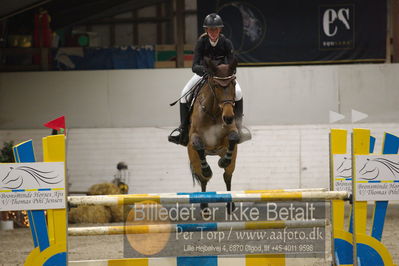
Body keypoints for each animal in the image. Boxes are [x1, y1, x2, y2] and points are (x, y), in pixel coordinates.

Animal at [188, 57, 241, 214]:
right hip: (193, 158)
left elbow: (233, 138)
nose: (228, 117)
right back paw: (204, 206)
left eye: (233, 83)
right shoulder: (194, 136)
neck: (214, 111)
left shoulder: (231, 132)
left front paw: (223, 161)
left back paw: (230, 205)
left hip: (231, 159)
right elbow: (198, 144)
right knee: (203, 179)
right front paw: (207, 169)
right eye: (216, 85)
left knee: (227, 176)